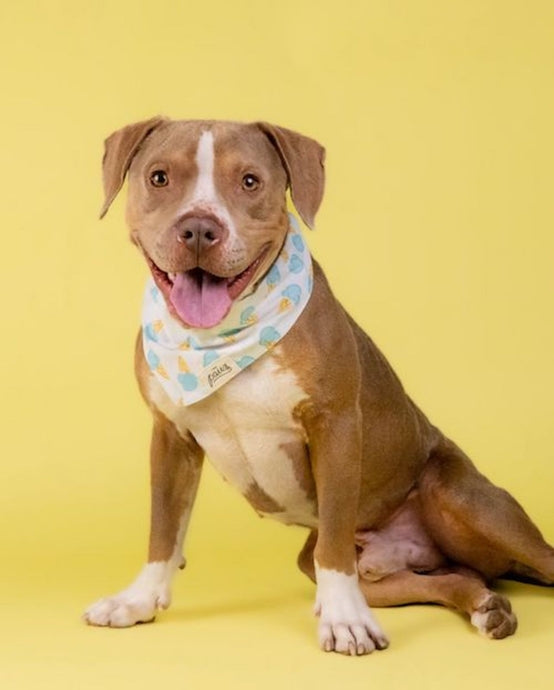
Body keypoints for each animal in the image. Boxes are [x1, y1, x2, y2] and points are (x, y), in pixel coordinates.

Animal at [83, 117, 552, 652]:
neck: (219, 342)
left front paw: (345, 619)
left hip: (464, 501)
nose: (199, 228)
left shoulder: (337, 427)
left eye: (250, 181)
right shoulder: (171, 436)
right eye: (159, 177)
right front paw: (137, 600)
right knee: (456, 577)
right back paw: (485, 605)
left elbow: (335, 543)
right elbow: (163, 528)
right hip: (381, 573)